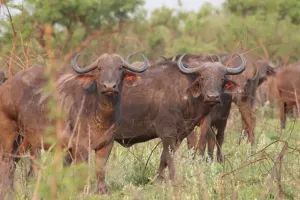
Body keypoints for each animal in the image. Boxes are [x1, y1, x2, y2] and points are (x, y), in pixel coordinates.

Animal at [0, 52, 149, 196]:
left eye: (120, 68)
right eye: (100, 68)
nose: (109, 86)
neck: (100, 115)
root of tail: (6, 86)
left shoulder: (107, 144)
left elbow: (100, 169)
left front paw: (102, 191)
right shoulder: (80, 146)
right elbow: (81, 170)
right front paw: (81, 191)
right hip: (9, 132)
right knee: (7, 160)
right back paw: (7, 190)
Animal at [113, 52, 246, 180]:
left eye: (222, 78)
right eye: (203, 78)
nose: (212, 97)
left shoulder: (180, 134)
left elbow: (165, 157)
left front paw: (159, 178)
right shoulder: (167, 133)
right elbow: (168, 156)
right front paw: (171, 178)